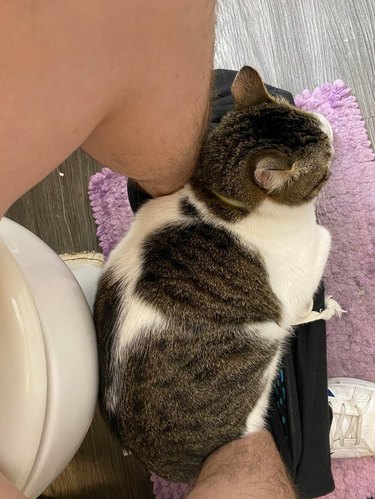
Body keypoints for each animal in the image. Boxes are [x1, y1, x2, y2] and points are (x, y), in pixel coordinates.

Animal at [94, 67, 334, 484]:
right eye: (325, 169)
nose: (334, 134)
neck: (215, 200)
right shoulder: (304, 263)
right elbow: (324, 244)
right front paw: (320, 307)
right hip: (260, 361)